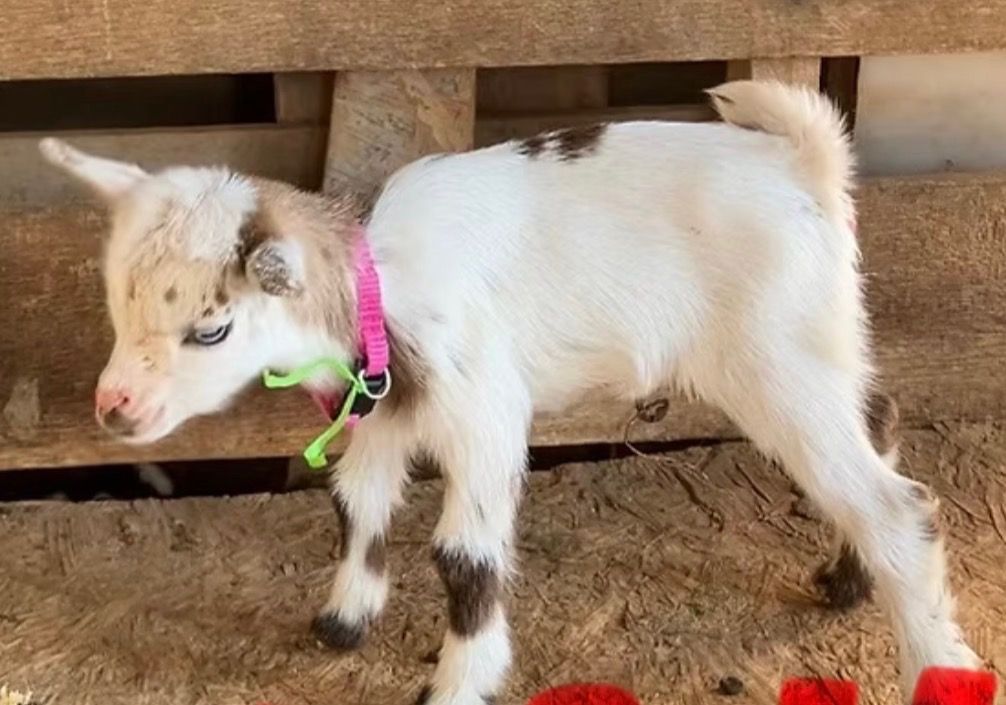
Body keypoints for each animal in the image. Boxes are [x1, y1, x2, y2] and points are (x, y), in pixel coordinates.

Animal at [40, 80, 980, 704]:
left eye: (210, 329)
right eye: (117, 302)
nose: (114, 409)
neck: (383, 289)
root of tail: (806, 160)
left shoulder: (484, 412)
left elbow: (465, 558)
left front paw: (457, 683)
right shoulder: (387, 417)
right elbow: (357, 506)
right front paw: (344, 621)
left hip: (777, 358)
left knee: (895, 503)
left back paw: (940, 663)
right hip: (820, 339)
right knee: (878, 423)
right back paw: (848, 580)